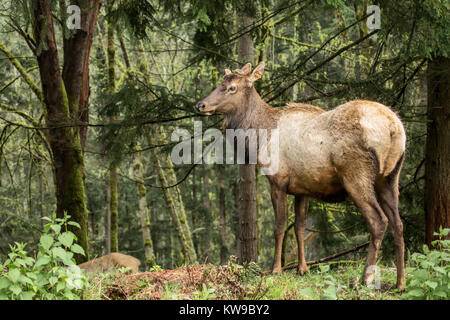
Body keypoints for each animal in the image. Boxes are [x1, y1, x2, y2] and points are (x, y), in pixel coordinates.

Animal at [197, 61, 408, 288]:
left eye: (231, 88)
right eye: (220, 83)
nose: (200, 105)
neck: (258, 138)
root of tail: (394, 127)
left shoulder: (278, 180)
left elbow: (279, 226)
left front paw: (276, 269)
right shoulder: (302, 188)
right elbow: (300, 227)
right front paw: (302, 269)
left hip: (356, 175)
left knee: (378, 221)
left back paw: (366, 278)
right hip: (390, 177)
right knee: (398, 223)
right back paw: (400, 282)